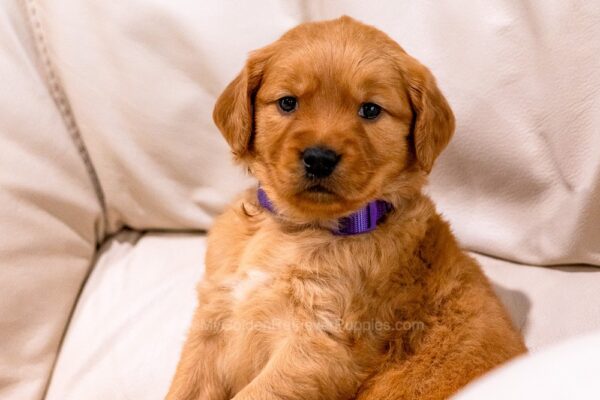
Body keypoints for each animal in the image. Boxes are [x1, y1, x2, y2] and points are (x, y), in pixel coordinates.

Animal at [165, 15, 524, 400]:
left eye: (370, 109)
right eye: (288, 103)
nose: (319, 159)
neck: (298, 227)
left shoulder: (320, 346)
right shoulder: (214, 317)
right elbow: (185, 386)